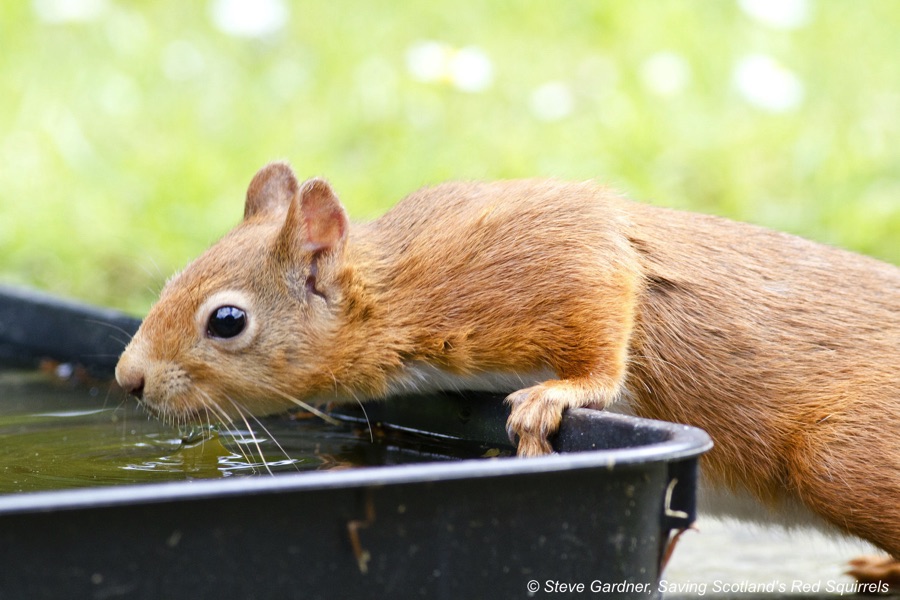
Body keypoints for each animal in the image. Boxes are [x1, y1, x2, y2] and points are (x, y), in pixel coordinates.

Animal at [117, 162, 900, 577]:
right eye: (172, 277)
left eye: (226, 321)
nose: (130, 379)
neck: (398, 297)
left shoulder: (542, 257)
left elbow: (601, 319)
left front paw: (558, 396)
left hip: (843, 458)